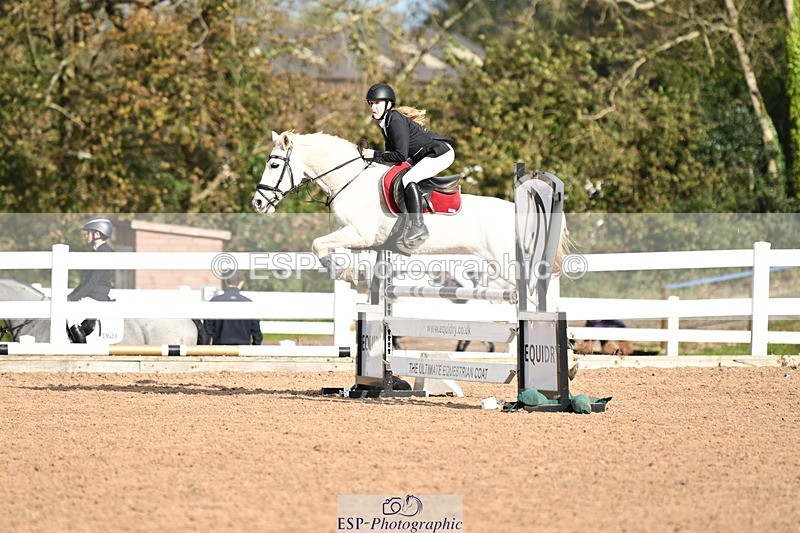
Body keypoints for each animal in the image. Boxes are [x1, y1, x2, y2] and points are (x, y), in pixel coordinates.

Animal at [251, 130, 568, 308]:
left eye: (274, 164)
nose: (257, 203)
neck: (350, 179)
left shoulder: (361, 233)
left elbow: (317, 244)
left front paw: (344, 273)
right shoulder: (362, 237)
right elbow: (326, 246)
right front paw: (347, 270)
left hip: (507, 263)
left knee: (544, 299)